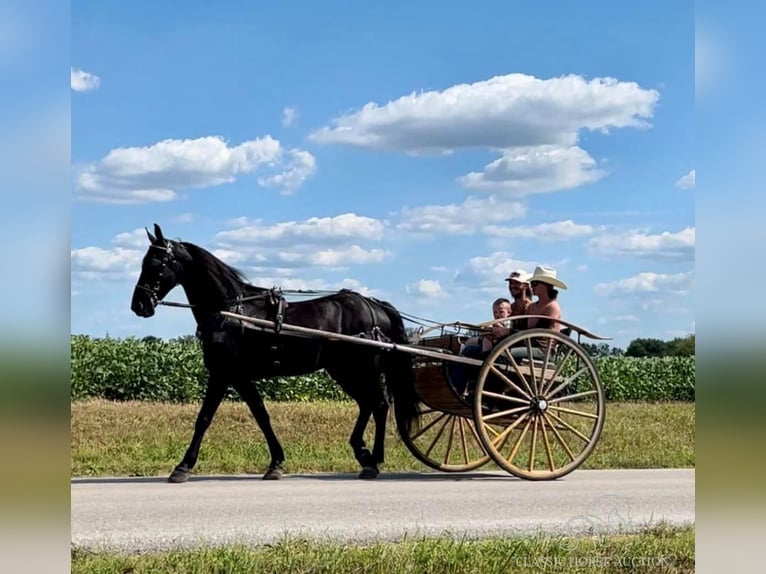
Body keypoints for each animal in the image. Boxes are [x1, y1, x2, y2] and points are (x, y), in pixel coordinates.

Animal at [130, 224, 420, 482]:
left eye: (155, 263)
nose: (139, 305)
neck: (231, 312)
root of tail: (375, 306)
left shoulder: (223, 374)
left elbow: (204, 418)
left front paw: (183, 466)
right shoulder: (240, 378)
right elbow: (262, 416)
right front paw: (276, 463)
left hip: (359, 369)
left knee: (378, 404)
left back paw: (372, 459)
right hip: (344, 370)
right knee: (369, 404)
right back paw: (365, 454)